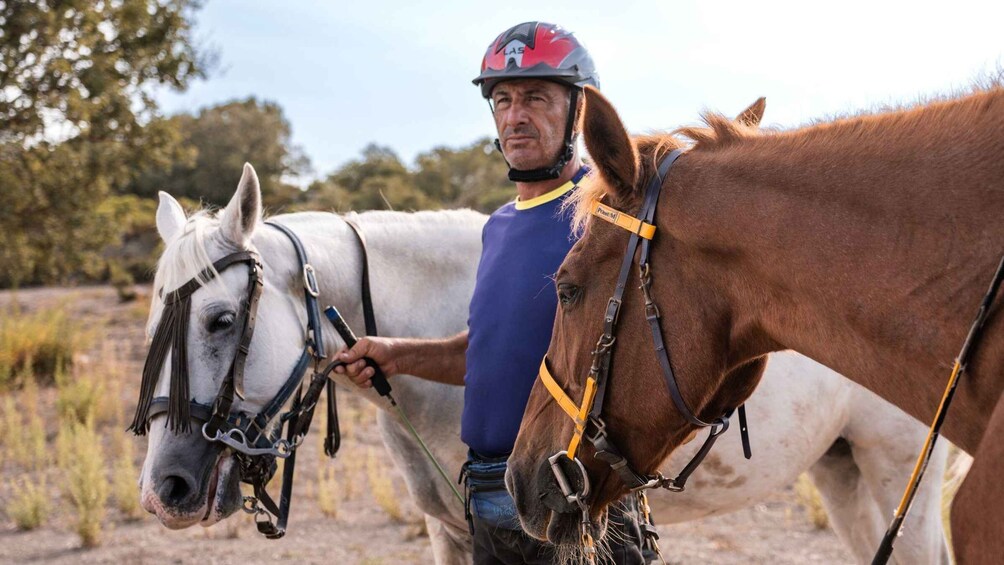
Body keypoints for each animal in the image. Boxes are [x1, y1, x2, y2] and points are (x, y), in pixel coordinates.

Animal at [137, 164, 943, 565]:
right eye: (155, 323)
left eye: (221, 319)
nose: (164, 490)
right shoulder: (452, 533)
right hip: (840, 469)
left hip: (901, 468)